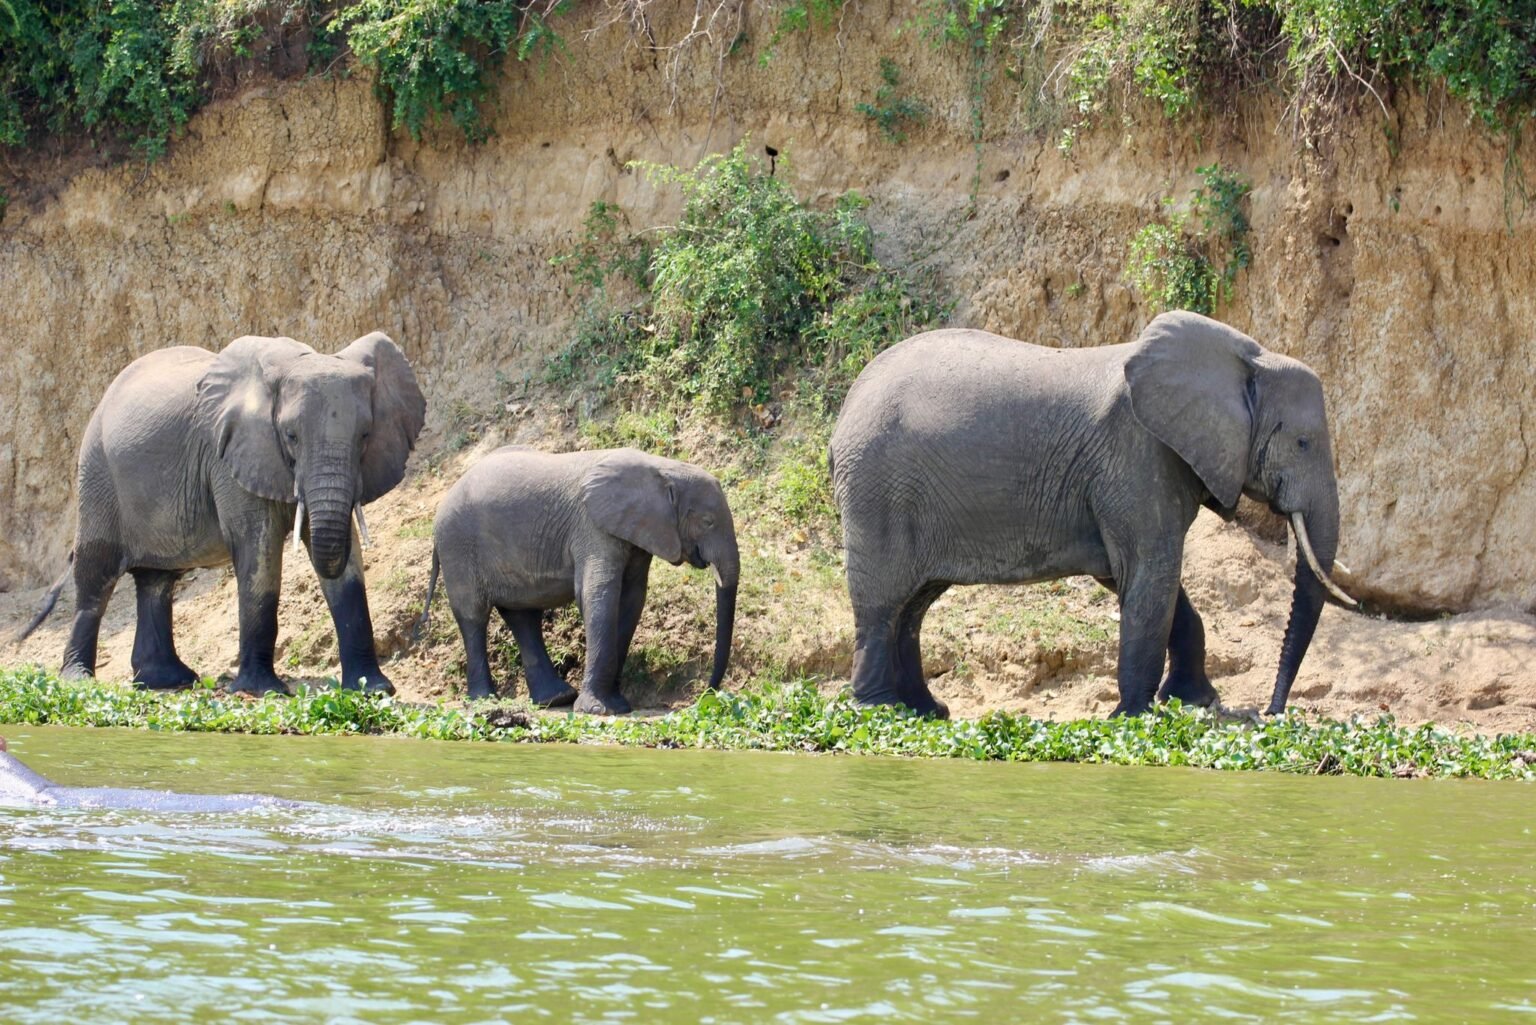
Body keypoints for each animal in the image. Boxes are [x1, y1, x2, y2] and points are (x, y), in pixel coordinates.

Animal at [16, 332, 426, 696]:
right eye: (290, 436)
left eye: (365, 435)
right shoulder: (229, 458)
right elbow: (258, 550)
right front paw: (263, 692)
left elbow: (344, 556)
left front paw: (372, 690)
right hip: (97, 472)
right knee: (96, 574)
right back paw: (79, 679)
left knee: (157, 580)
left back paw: (168, 681)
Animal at [419, 446, 739, 715]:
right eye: (708, 521)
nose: (703, 698)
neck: (663, 467)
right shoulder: (592, 527)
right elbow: (599, 594)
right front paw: (599, 710)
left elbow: (631, 601)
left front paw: (616, 705)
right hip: (457, 545)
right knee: (474, 616)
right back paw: (486, 700)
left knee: (523, 616)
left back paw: (555, 699)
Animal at [828, 310, 1354, 719]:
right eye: (1303, 443)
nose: (1271, 712)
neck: (1247, 357)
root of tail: (845, 411)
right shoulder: (1136, 457)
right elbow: (1150, 575)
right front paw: (1135, 716)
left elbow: (1139, 579)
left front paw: (1194, 702)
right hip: (877, 489)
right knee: (883, 604)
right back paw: (880, 710)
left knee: (913, 606)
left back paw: (925, 711)